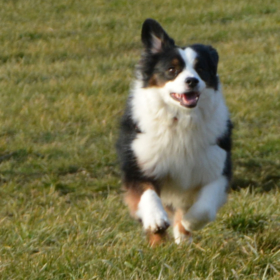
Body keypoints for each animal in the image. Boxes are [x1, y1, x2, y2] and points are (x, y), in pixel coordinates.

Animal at [116, 18, 232, 245]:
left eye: (201, 69)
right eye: (172, 70)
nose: (192, 81)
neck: (180, 119)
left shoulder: (217, 166)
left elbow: (204, 208)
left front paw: (187, 224)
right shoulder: (139, 163)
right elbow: (147, 193)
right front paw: (155, 219)